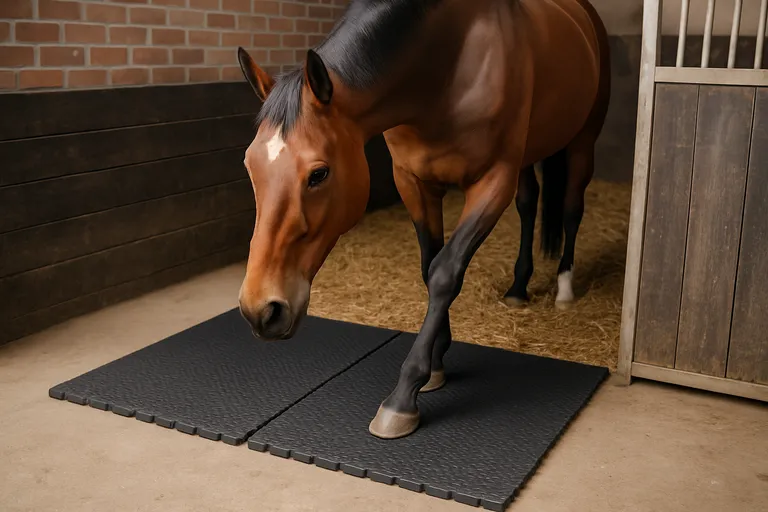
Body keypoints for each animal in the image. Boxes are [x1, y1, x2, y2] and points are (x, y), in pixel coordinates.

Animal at [236, 0, 611, 439]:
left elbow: (445, 273)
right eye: (249, 165)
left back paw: (565, 288)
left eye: (319, 174)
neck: (447, 64)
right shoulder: (412, 182)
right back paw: (519, 287)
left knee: (571, 208)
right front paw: (435, 364)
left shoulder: (492, 182)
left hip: (583, 142)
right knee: (528, 204)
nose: (261, 310)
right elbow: (428, 266)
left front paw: (403, 396)